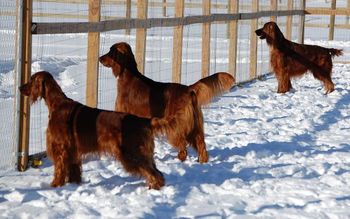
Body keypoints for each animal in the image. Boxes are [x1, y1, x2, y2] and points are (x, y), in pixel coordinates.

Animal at [19, 71, 167, 189]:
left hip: (132, 152)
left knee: (154, 173)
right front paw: (73, 184)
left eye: (31, 79)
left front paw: (55, 185)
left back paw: (154, 188)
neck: (57, 104)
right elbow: (74, 171)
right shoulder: (72, 152)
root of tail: (144, 121)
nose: (20, 87)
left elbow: (59, 170)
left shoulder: (61, 149)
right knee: (156, 170)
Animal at [99, 42, 235, 163]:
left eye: (111, 51)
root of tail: (188, 89)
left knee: (183, 146)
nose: (99, 58)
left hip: (176, 125)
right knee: (201, 144)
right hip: (195, 125)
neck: (128, 76)